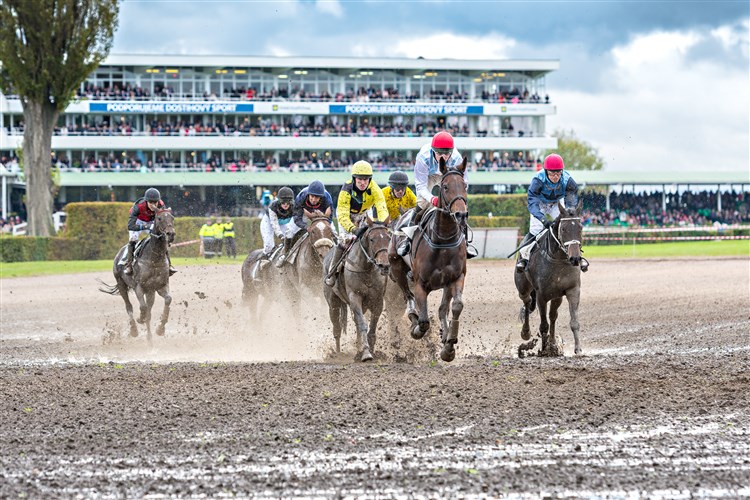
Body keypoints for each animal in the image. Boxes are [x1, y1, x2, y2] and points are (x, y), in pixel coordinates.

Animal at [99, 208, 177, 344]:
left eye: (172, 218)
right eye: (159, 218)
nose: (170, 234)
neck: (154, 259)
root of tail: (120, 252)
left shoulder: (160, 286)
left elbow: (168, 299)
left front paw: (160, 329)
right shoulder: (139, 287)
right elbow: (143, 307)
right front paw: (141, 318)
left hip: (150, 292)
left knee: (149, 311)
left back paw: (149, 339)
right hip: (121, 283)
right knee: (129, 306)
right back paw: (134, 330)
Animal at [324, 217, 394, 362]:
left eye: (388, 238)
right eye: (372, 239)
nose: (384, 265)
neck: (366, 269)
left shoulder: (378, 300)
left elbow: (372, 328)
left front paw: (371, 350)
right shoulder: (355, 298)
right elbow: (362, 325)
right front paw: (366, 353)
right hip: (333, 303)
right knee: (337, 327)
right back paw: (337, 353)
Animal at [388, 156, 470, 360]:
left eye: (464, 185)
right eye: (445, 187)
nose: (461, 214)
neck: (443, 239)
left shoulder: (456, 278)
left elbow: (455, 306)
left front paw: (449, 344)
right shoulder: (420, 284)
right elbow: (424, 321)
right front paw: (417, 329)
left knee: (442, 309)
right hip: (396, 268)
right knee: (407, 296)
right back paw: (413, 318)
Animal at [516, 199, 588, 356]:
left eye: (580, 228)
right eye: (563, 229)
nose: (575, 258)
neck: (558, 259)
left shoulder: (573, 290)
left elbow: (574, 322)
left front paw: (578, 349)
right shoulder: (541, 295)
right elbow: (543, 325)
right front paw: (544, 350)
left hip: (556, 296)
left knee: (553, 316)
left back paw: (553, 344)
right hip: (523, 289)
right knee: (527, 302)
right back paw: (525, 332)